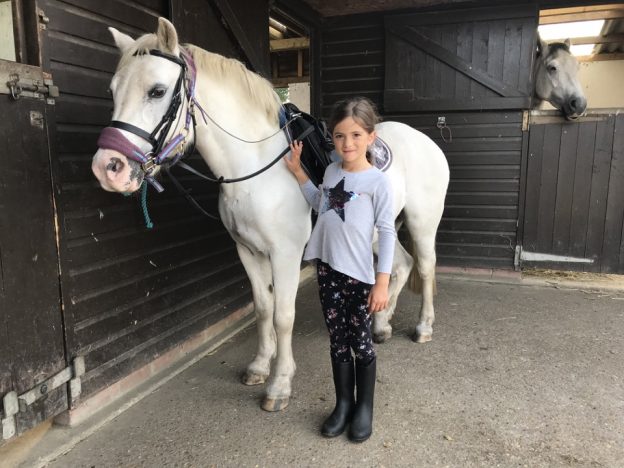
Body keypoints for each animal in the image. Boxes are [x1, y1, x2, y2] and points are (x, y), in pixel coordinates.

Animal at [91, 18, 448, 412]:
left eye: (156, 91)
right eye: (112, 91)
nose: (108, 168)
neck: (256, 169)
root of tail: (424, 140)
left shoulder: (285, 255)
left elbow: (283, 315)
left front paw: (280, 385)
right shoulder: (248, 251)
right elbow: (262, 309)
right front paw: (260, 367)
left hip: (422, 224)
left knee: (425, 266)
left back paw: (424, 327)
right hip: (377, 232)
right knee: (400, 265)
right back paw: (380, 326)